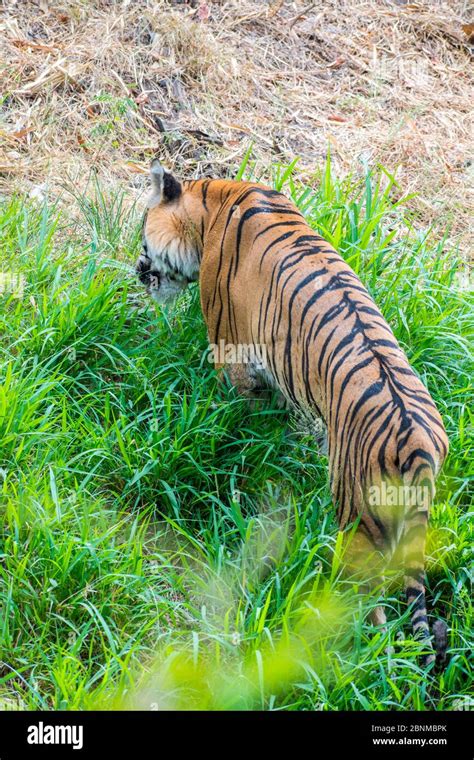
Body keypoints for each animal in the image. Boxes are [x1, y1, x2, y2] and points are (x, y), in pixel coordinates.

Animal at [135, 159, 450, 664]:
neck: (211, 202)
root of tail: (419, 442)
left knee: (369, 605)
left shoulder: (230, 353)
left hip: (358, 514)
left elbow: (237, 420)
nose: (138, 269)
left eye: (144, 233)